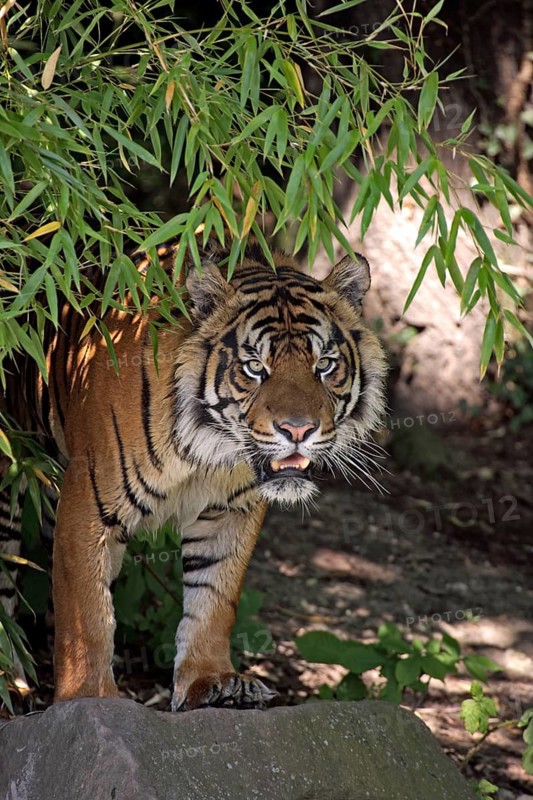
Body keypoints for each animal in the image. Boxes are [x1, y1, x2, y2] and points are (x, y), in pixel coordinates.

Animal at [0, 238, 386, 711]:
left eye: (325, 365)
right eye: (255, 367)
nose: (298, 430)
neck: (208, 450)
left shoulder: (230, 512)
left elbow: (214, 598)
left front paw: (213, 681)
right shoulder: (88, 503)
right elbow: (86, 614)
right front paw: (89, 699)